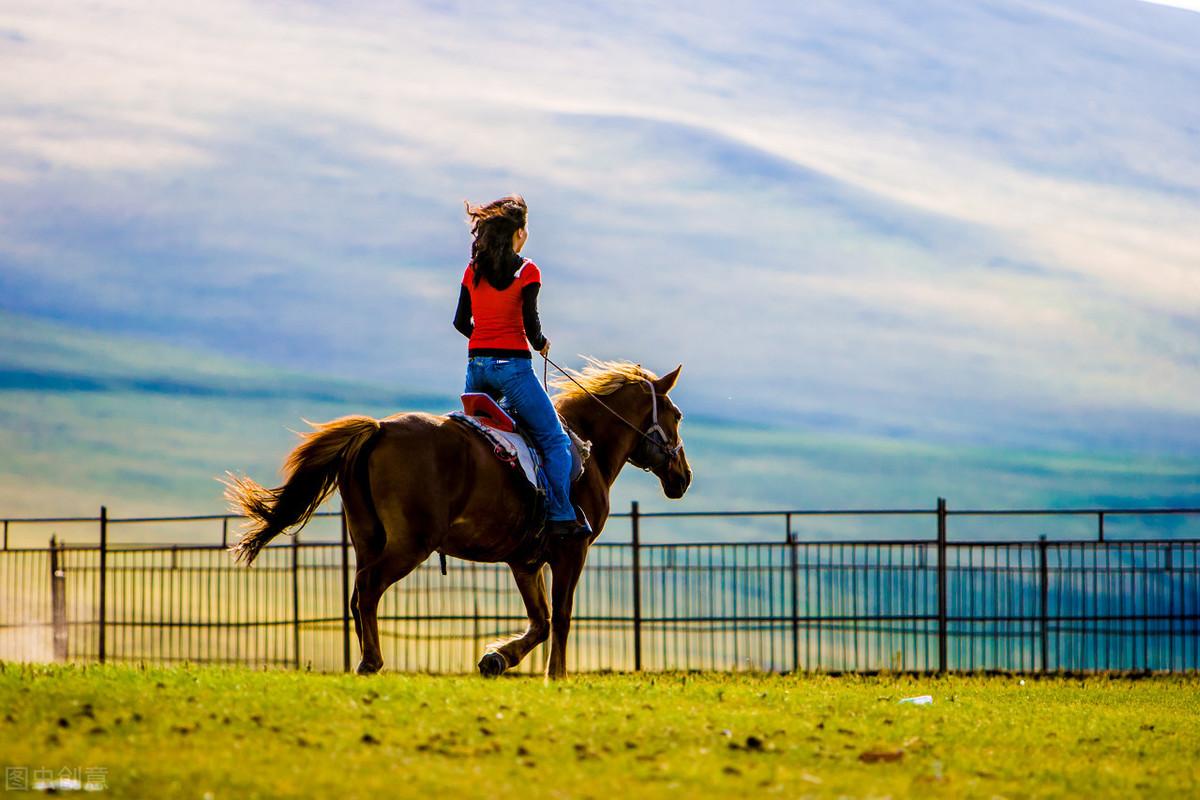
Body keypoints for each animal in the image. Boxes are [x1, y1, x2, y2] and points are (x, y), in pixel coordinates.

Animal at [225, 359, 696, 681]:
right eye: (677, 415)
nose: (684, 476)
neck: (586, 446)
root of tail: (378, 429)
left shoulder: (524, 562)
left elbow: (541, 621)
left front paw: (497, 659)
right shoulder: (570, 551)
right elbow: (561, 616)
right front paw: (556, 676)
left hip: (367, 537)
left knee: (359, 595)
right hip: (409, 544)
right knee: (369, 588)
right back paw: (371, 661)